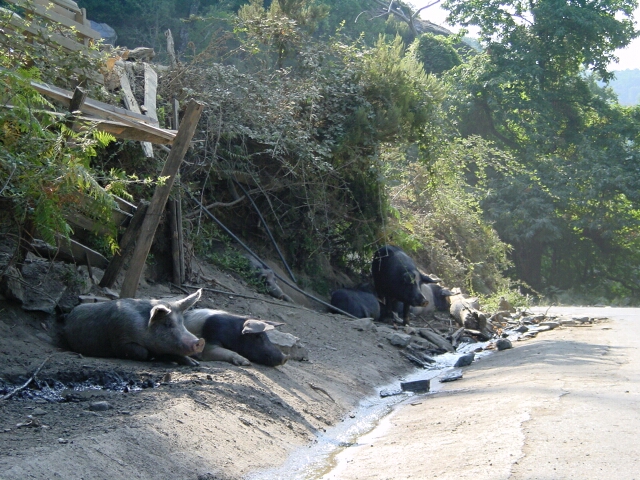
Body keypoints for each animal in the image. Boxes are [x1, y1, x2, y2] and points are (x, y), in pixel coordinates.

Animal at [61, 290, 204, 366]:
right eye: (167, 324)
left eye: (182, 323)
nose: (199, 341)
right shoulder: (119, 340)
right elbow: (143, 352)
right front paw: (151, 357)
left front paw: (194, 363)